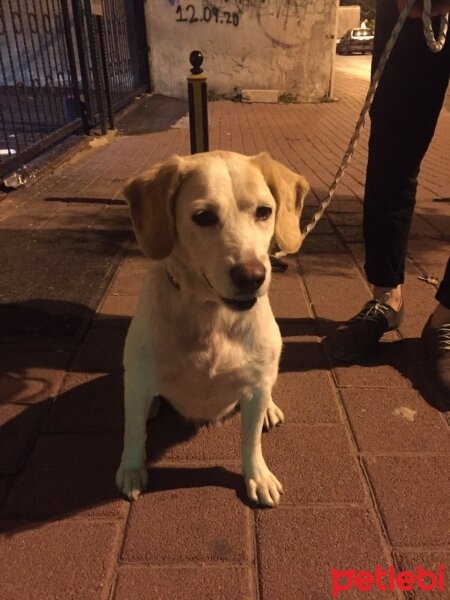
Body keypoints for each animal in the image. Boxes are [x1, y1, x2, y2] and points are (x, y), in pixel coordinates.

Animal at [115, 150, 310, 506]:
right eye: (204, 217)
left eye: (265, 211)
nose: (252, 276)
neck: (211, 315)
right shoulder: (137, 381)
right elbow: (133, 432)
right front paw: (132, 468)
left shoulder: (254, 388)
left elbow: (251, 442)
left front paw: (257, 475)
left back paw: (270, 409)